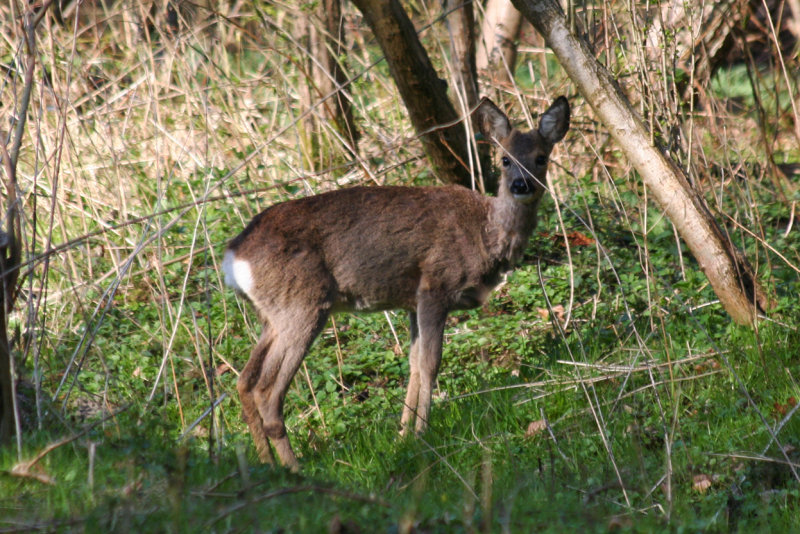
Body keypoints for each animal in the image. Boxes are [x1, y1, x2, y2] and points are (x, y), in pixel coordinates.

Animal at [223, 97, 568, 474]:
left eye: (541, 157)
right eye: (505, 159)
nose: (521, 185)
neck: (484, 233)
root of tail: (235, 255)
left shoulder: (412, 301)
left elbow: (414, 365)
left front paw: (404, 436)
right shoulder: (436, 284)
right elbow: (431, 364)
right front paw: (423, 434)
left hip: (272, 314)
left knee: (244, 381)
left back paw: (267, 464)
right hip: (303, 305)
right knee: (266, 390)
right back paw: (294, 468)